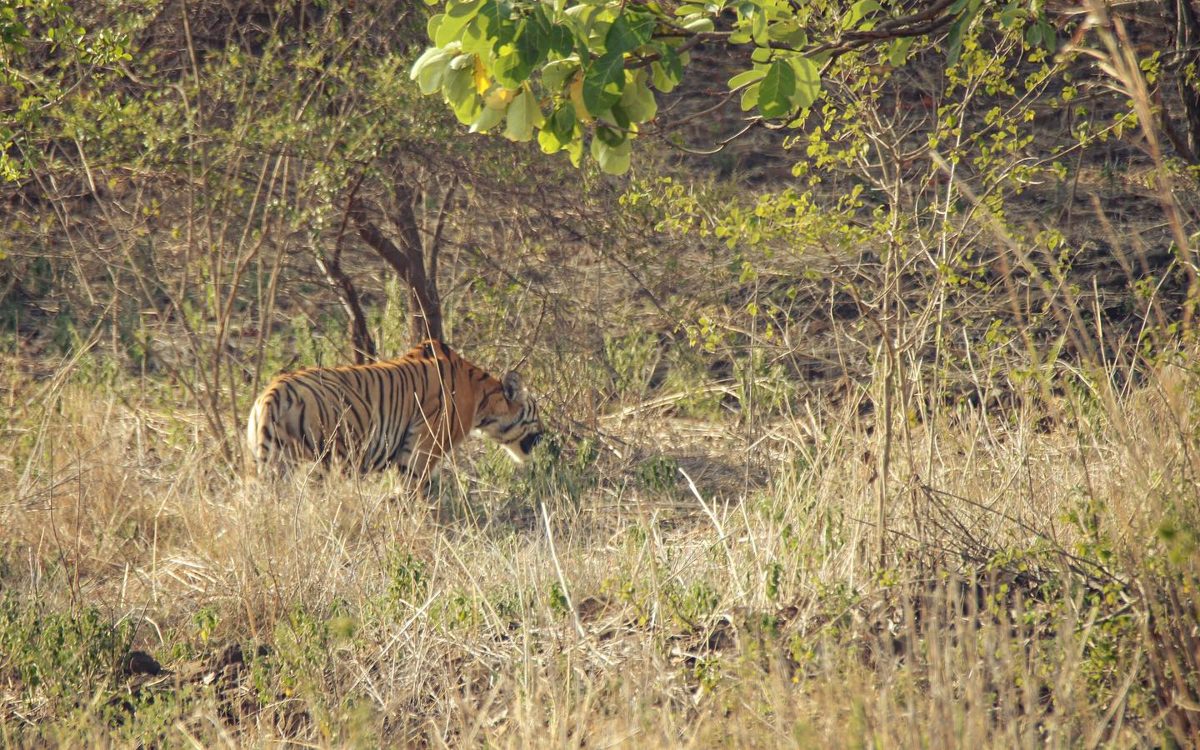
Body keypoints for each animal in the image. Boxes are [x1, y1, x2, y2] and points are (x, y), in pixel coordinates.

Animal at [245, 339, 544, 480]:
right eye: (537, 413)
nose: (545, 435)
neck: (482, 398)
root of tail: (272, 392)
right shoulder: (421, 452)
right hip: (324, 455)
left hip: (271, 459)